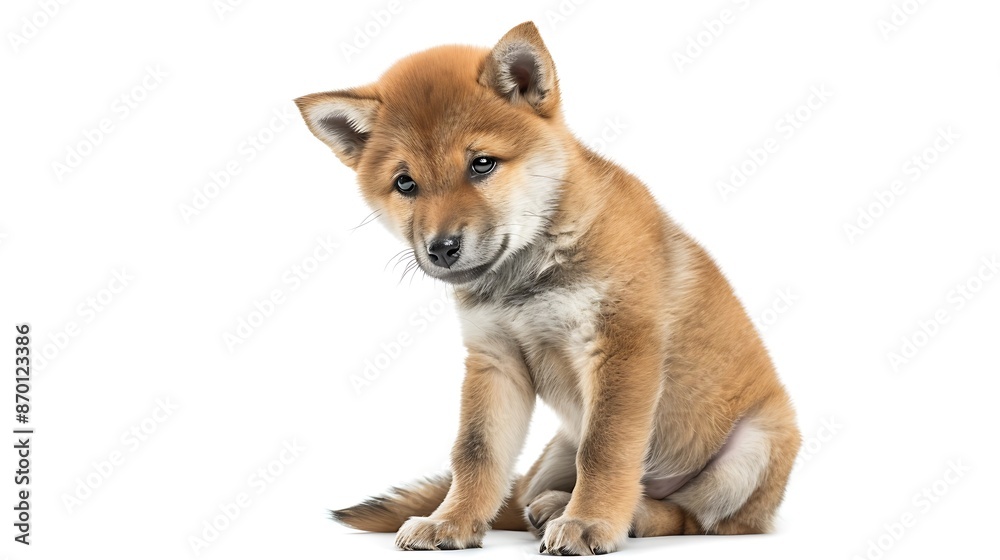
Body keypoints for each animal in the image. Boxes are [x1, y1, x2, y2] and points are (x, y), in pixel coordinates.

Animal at [295, 21, 801, 556]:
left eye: (481, 164)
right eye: (405, 183)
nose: (441, 249)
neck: (525, 275)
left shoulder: (621, 347)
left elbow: (605, 451)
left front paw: (590, 522)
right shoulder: (495, 359)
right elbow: (475, 454)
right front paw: (452, 521)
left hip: (747, 456)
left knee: (693, 517)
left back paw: (629, 514)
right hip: (551, 458)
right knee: (523, 496)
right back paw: (553, 505)